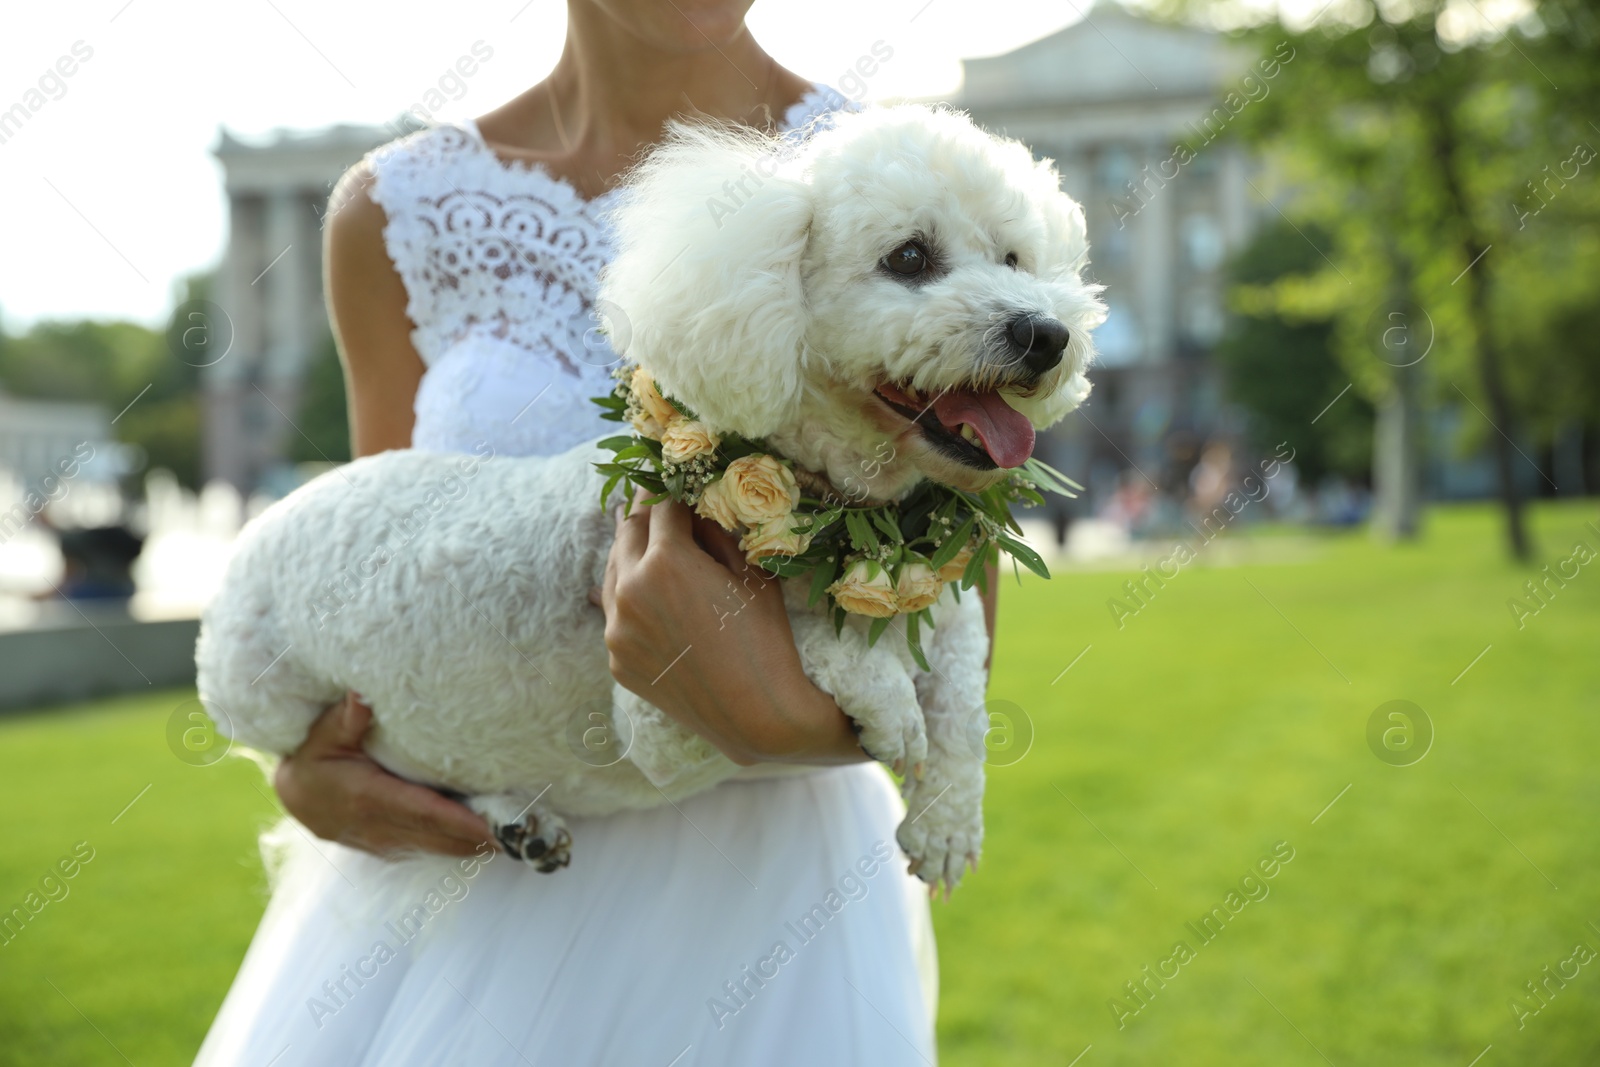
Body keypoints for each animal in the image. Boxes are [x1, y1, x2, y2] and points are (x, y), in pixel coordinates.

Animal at [196, 106, 1100, 895]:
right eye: (909, 258)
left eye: (1014, 257)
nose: (1046, 336)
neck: (843, 514)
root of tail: (271, 513)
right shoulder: (667, 715)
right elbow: (809, 639)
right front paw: (883, 696)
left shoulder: (945, 605)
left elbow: (962, 697)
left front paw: (947, 820)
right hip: (255, 695)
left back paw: (516, 820)